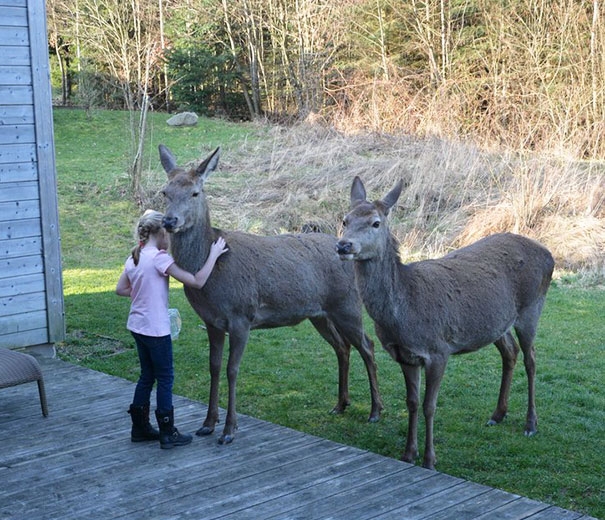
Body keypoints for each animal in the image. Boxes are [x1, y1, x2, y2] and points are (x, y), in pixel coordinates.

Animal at [157, 144, 382, 444]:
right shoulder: (212, 322)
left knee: (367, 345)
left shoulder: (241, 316)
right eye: (165, 192)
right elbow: (213, 367)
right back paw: (340, 404)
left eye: (195, 192)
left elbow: (231, 370)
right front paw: (207, 424)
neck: (209, 275)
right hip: (320, 314)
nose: (170, 220)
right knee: (342, 347)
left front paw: (229, 430)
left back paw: (375, 411)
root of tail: (350, 252)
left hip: (348, 304)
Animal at [338, 177, 556, 470]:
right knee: (510, 352)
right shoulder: (405, 355)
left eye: (375, 223)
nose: (343, 246)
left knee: (531, 358)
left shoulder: (438, 350)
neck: (404, 311)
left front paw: (430, 459)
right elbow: (411, 402)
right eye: (345, 220)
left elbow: (430, 405)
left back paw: (530, 424)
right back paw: (497, 414)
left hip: (532, 307)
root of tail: (549, 254)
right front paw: (408, 453)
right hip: (496, 323)